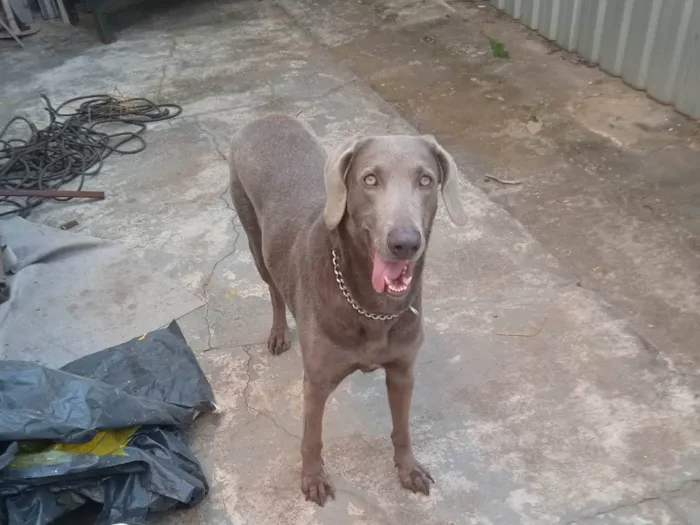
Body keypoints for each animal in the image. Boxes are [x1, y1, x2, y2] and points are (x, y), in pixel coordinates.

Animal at [230, 114, 464, 504]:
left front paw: (408, 468)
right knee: (275, 290)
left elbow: (402, 428)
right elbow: (311, 439)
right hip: (254, 239)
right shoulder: (316, 381)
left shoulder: (403, 370)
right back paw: (279, 333)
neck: (371, 306)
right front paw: (312, 479)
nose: (405, 243)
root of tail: (266, 117)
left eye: (426, 180)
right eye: (369, 179)